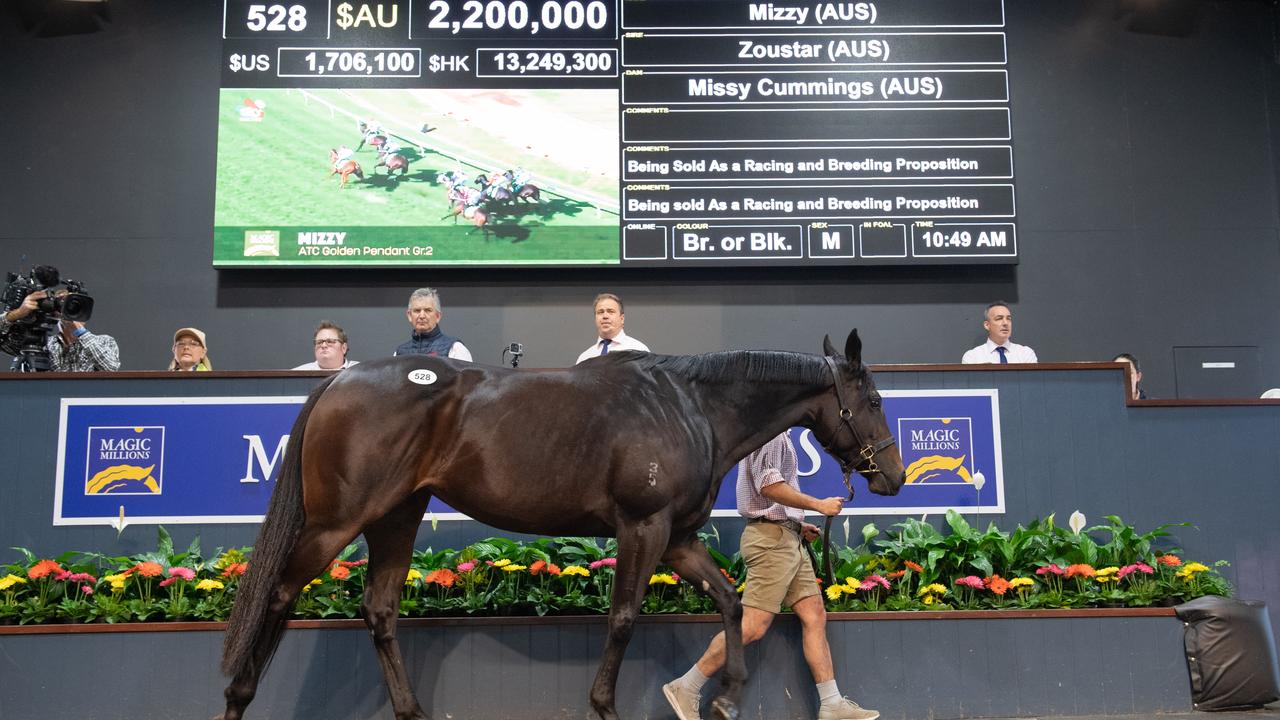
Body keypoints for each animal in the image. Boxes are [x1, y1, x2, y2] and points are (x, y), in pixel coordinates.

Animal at [220, 330, 906, 717]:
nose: (893, 477)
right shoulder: (643, 529)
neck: (688, 406)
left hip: (397, 515)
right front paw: (604, 707)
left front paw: (728, 697)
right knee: (277, 594)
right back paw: (237, 698)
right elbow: (624, 618)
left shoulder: (677, 539)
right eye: (872, 400)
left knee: (380, 610)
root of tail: (338, 379)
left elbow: (731, 601)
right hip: (336, 522)